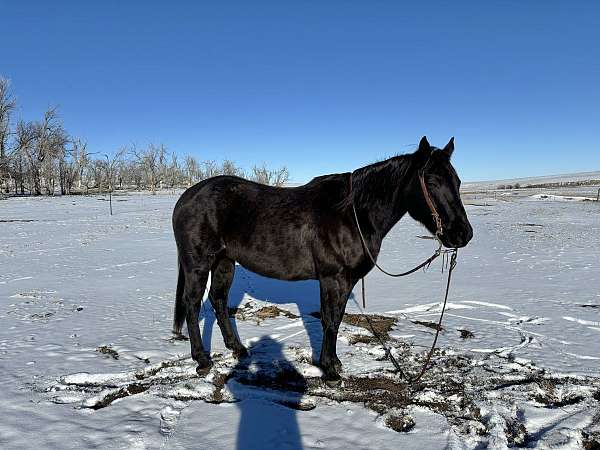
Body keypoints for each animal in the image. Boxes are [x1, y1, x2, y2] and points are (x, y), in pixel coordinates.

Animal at [171, 136, 472, 384]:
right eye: (431, 181)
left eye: (457, 181)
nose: (463, 234)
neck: (352, 214)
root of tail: (185, 197)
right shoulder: (332, 278)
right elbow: (329, 320)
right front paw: (329, 371)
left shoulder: (346, 281)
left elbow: (336, 319)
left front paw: (334, 363)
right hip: (199, 264)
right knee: (192, 304)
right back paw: (202, 360)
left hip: (224, 262)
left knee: (218, 301)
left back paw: (238, 349)